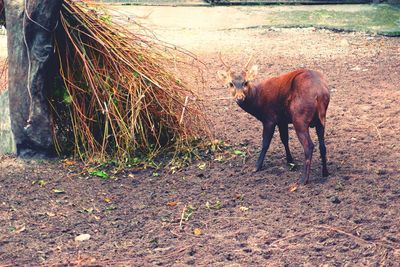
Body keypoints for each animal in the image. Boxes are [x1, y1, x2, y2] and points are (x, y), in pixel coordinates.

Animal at [217, 54, 330, 184]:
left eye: (246, 82)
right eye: (231, 84)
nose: (239, 97)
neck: (258, 100)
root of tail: (320, 93)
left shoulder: (269, 118)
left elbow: (265, 143)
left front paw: (256, 166)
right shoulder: (282, 119)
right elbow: (284, 139)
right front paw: (290, 162)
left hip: (299, 118)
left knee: (309, 146)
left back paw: (303, 180)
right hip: (321, 119)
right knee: (322, 145)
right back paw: (325, 173)